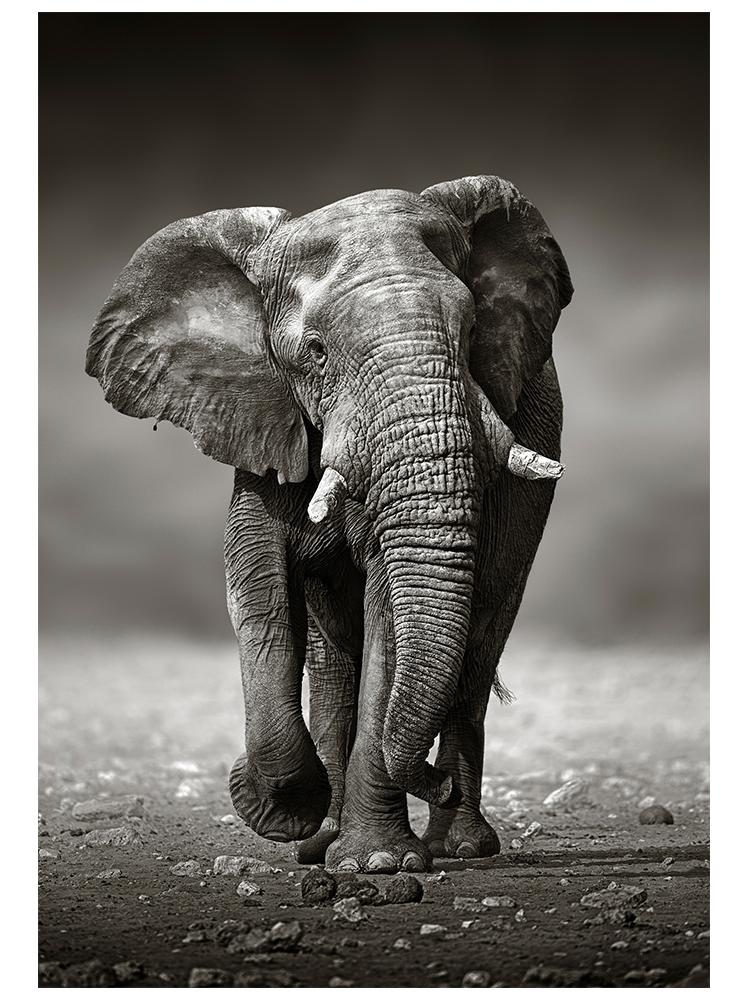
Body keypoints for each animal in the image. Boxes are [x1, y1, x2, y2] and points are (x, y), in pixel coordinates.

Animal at [86, 175, 573, 873]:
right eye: (314, 353)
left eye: (473, 329)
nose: (434, 782)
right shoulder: (264, 418)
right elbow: (257, 588)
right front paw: (285, 811)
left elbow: (388, 610)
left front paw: (380, 864)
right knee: (334, 660)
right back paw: (324, 841)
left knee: (480, 637)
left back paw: (458, 846)